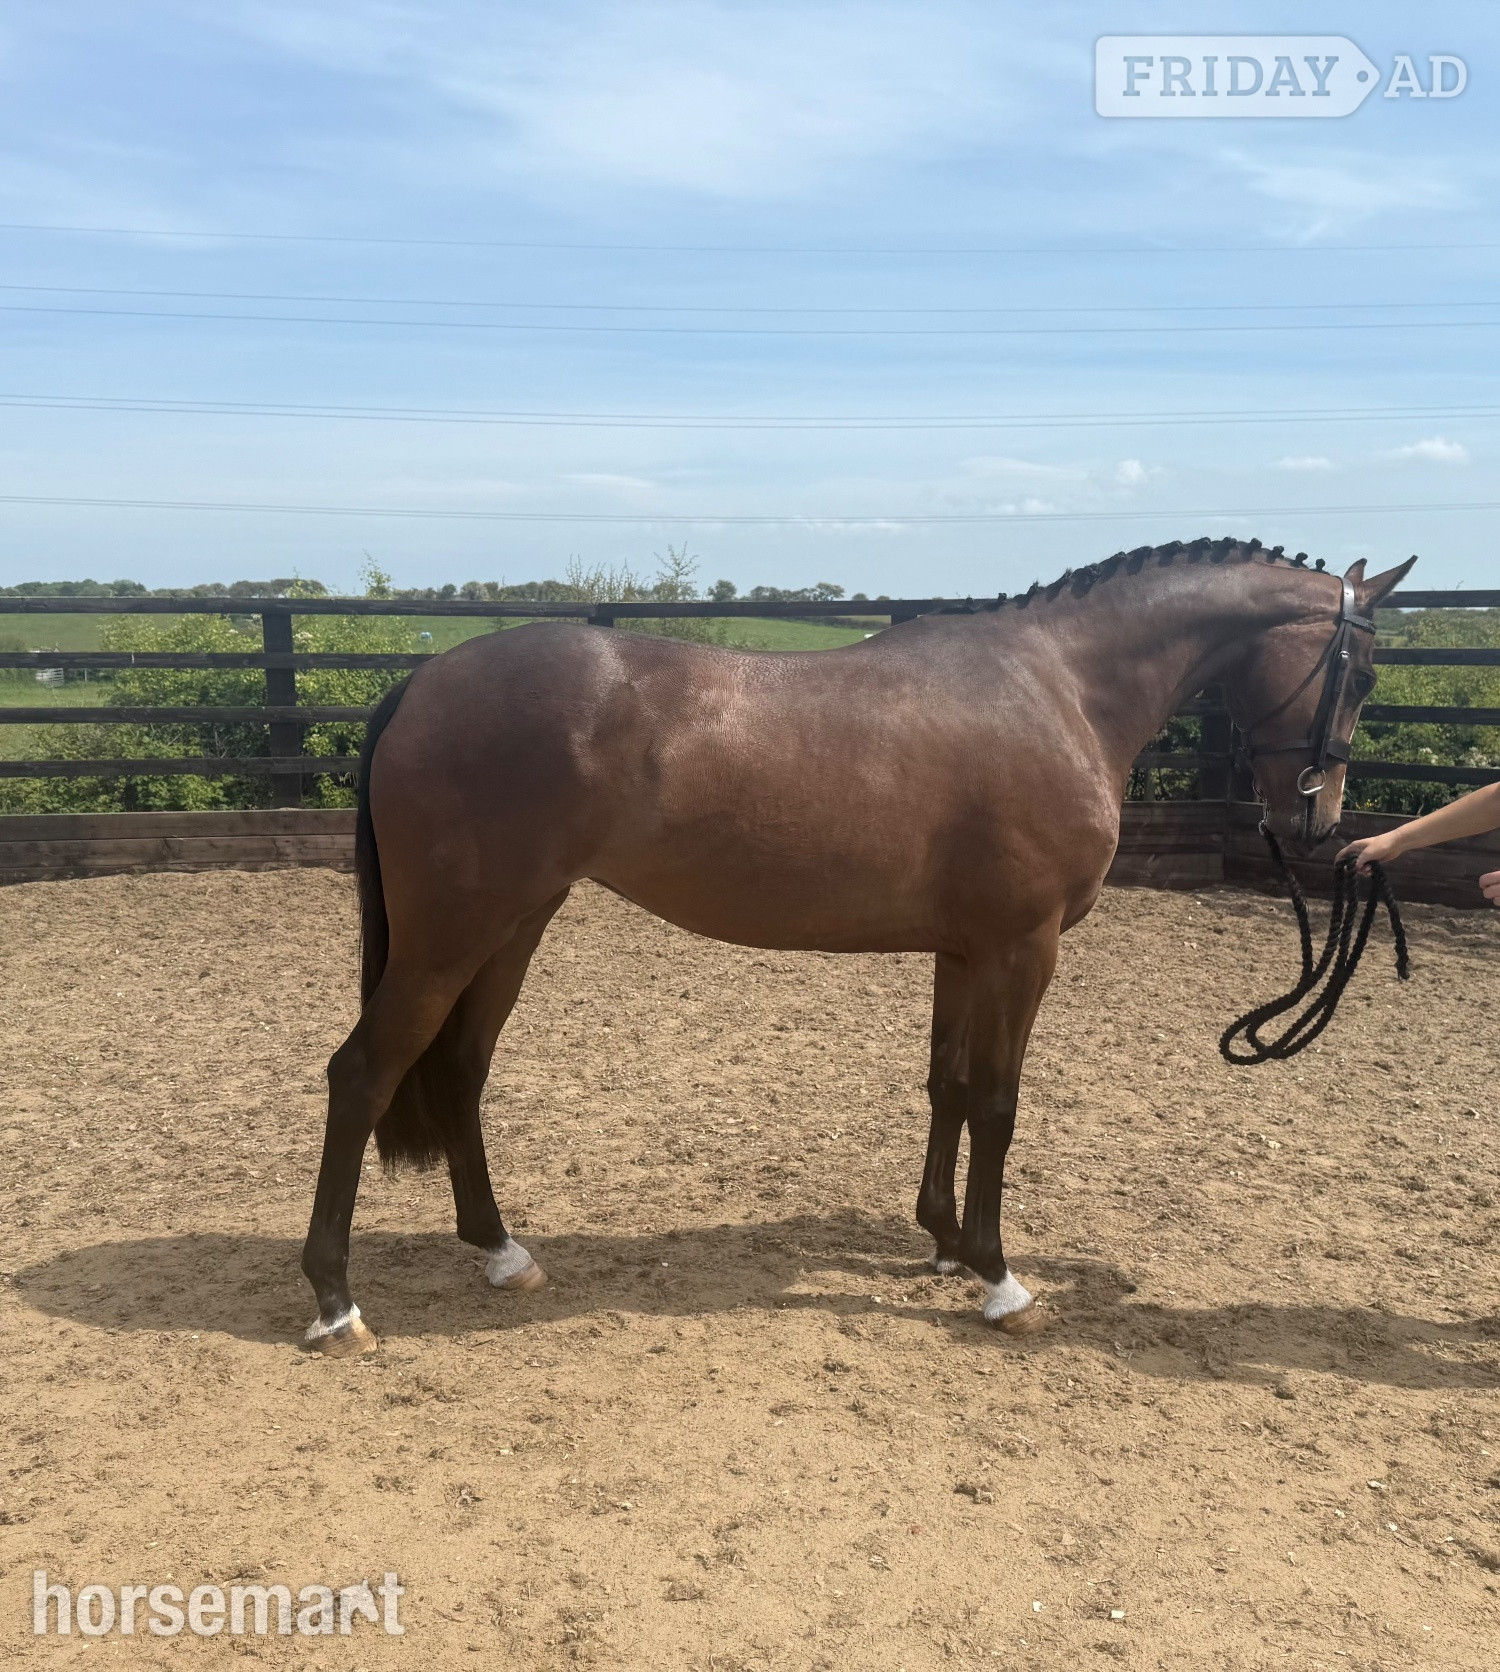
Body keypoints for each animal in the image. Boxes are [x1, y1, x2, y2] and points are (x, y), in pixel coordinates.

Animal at [299, 538, 1415, 1354]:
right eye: (1361, 669)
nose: (1319, 822)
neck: (1057, 686)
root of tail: (422, 682)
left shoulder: (965, 952)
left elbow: (948, 1086)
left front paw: (946, 1243)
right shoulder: (1024, 949)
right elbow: (999, 1103)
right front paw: (1000, 1278)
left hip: (513, 926)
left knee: (459, 1071)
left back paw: (502, 1252)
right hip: (454, 935)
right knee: (364, 1073)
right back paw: (336, 1302)